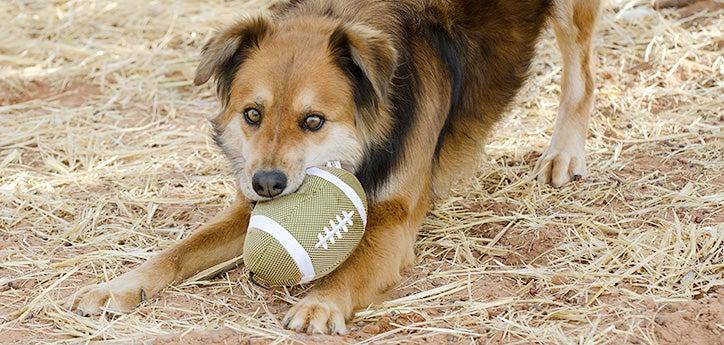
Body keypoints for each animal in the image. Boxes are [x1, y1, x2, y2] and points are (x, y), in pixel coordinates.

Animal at [72, 0, 600, 334]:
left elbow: (354, 265)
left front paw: (320, 303)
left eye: (313, 121)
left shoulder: (392, 222)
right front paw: (117, 286)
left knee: (582, 71)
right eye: (252, 114)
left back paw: (563, 153)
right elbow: (178, 252)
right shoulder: (245, 208)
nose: (268, 185)